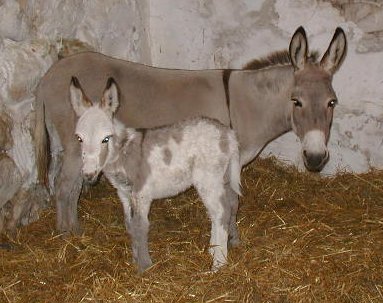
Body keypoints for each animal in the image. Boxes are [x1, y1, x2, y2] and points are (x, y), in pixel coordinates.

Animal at [70, 77, 242, 274]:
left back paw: (218, 264)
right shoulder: (123, 193)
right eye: (79, 138)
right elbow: (130, 225)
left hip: (208, 179)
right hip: (224, 177)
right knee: (229, 206)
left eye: (105, 138)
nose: (88, 175)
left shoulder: (142, 194)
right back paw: (214, 249)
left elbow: (141, 226)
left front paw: (144, 266)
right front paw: (135, 259)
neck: (122, 151)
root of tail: (228, 133)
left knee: (221, 212)